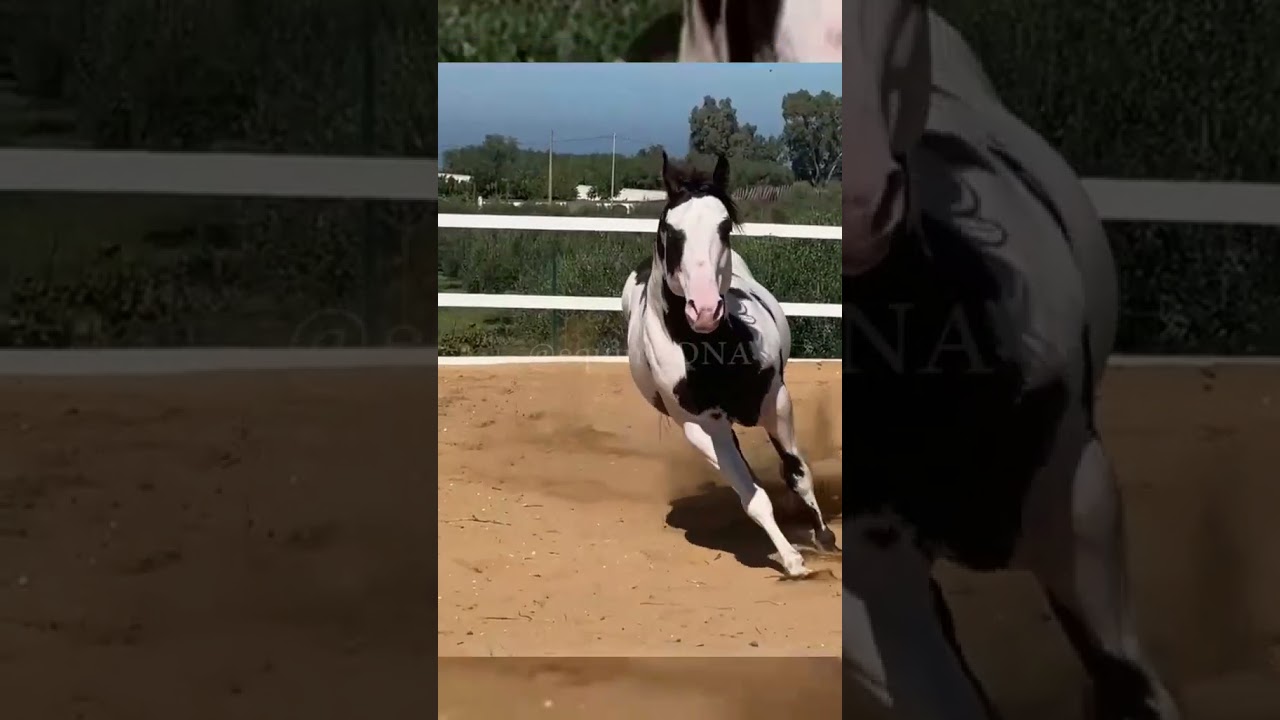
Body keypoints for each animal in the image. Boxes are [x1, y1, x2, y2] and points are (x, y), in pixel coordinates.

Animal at [620, 151, 837, 579]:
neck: (714, 353)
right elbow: (752, 495)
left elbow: (798, 473)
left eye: (724, 227)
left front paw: (824, 537)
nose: (704, 310)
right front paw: (792, 560)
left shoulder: (776, 402)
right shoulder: (702, 427)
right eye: (670, 231)